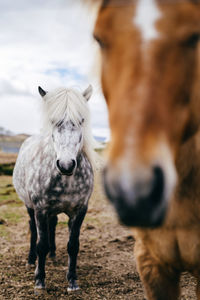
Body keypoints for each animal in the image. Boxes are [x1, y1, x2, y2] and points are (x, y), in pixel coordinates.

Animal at [13, 84, 96, 292]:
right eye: (53, 121)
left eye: (81, 120)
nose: (66, 165)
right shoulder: (40, 209)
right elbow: (40, 243)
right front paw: (39, 281)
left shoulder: (80, 210)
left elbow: (73, 245)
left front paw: (72, 281)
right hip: (30, 206)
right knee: (33, 228)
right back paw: (31, 259)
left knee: (53, 224)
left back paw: (52, 254)